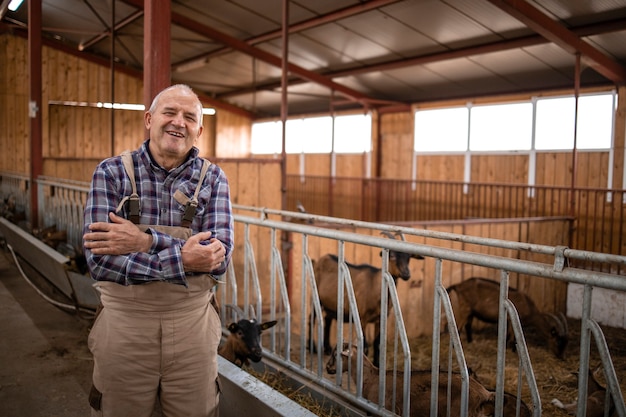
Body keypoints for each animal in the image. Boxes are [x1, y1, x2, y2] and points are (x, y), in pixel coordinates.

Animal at [310, 232, 422, 366]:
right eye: (392, 256)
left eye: (409, 257)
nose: (406, 274)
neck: (375, 286)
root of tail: (322, 258)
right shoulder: (362, 317)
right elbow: (365, 346)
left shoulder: (380, 319)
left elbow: (377, 343)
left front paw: (377, 364)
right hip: (316, 296)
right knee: (312, 318)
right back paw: (312, 347)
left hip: (332, 304)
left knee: (327, 319)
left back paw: (326, 348)